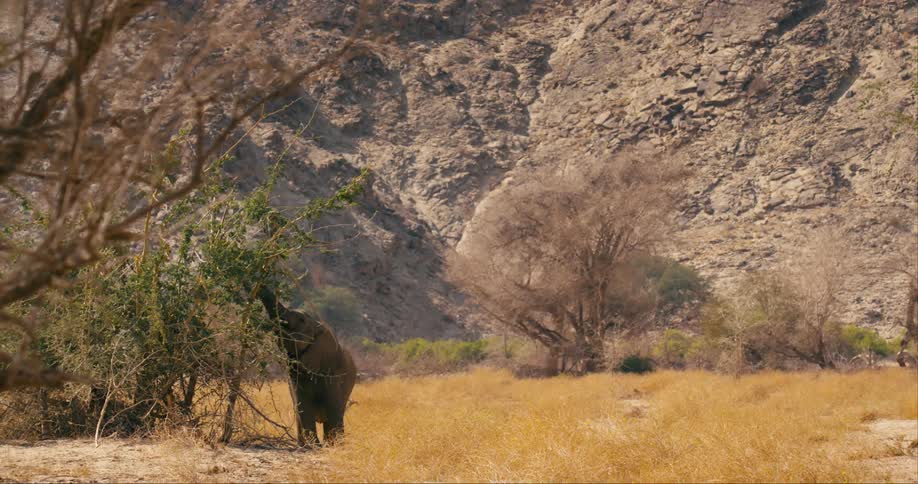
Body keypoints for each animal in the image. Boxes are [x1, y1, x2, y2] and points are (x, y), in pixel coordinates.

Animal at [257, 286, 356, 447]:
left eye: (301, 320)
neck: (318, 324)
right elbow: (302, 406)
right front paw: (312, 446)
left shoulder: (331, 371)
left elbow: (333, 407)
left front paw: (330, 446)